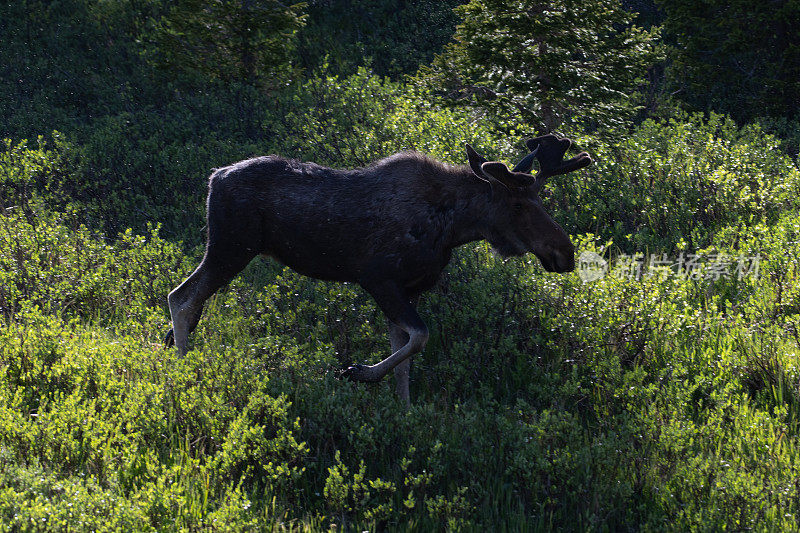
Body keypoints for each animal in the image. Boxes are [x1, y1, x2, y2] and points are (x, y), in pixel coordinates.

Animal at [166, 134, 592, 404]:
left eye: (540, 199)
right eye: (517, 205)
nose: (565, 252)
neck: (453, 228)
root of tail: (213, 178)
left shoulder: (409, 289)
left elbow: (405, 355)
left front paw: (403, 412)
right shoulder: (378, 278)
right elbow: (419, 337)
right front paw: (356, 372)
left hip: (230, 249)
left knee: (187, 300)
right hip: (230, 248)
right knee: (180, 297)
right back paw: (185, 372)